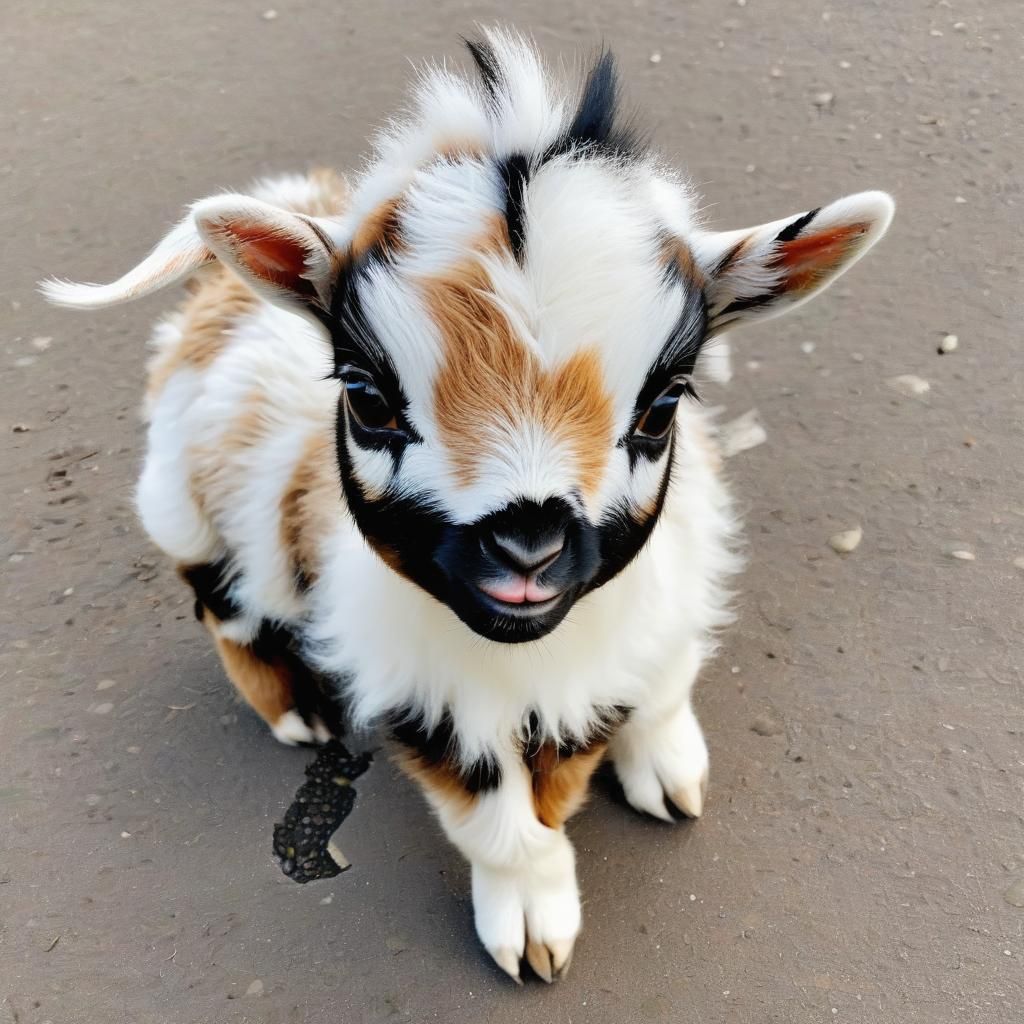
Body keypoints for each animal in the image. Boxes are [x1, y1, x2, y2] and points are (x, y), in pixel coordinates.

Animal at [42, 30, 893, 983]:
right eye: (367, 399)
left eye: (664, 404)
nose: (527, 547)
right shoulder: (420, 690)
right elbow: (503, 823)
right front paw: (532, 933)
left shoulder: (670, 590)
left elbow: (660, 685)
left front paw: (669, 771)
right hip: (187, 505)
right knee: (218, 597)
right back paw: (292, 712)